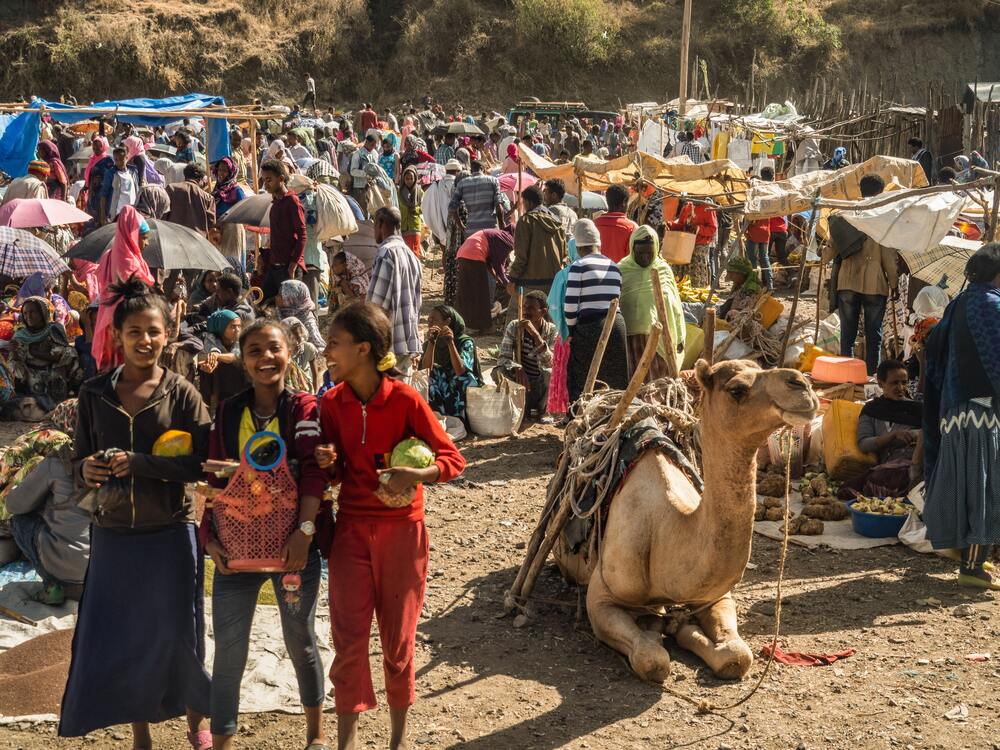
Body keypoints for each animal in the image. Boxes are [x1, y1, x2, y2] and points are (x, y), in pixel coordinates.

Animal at [552, 362, 816, 684]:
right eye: (737, 389)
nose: (802, 384)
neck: (666, 532)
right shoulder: (601, 598)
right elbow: (652, 660)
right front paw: (658, 630)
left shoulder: (716, 595)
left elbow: (738, 656)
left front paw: (682, 628)